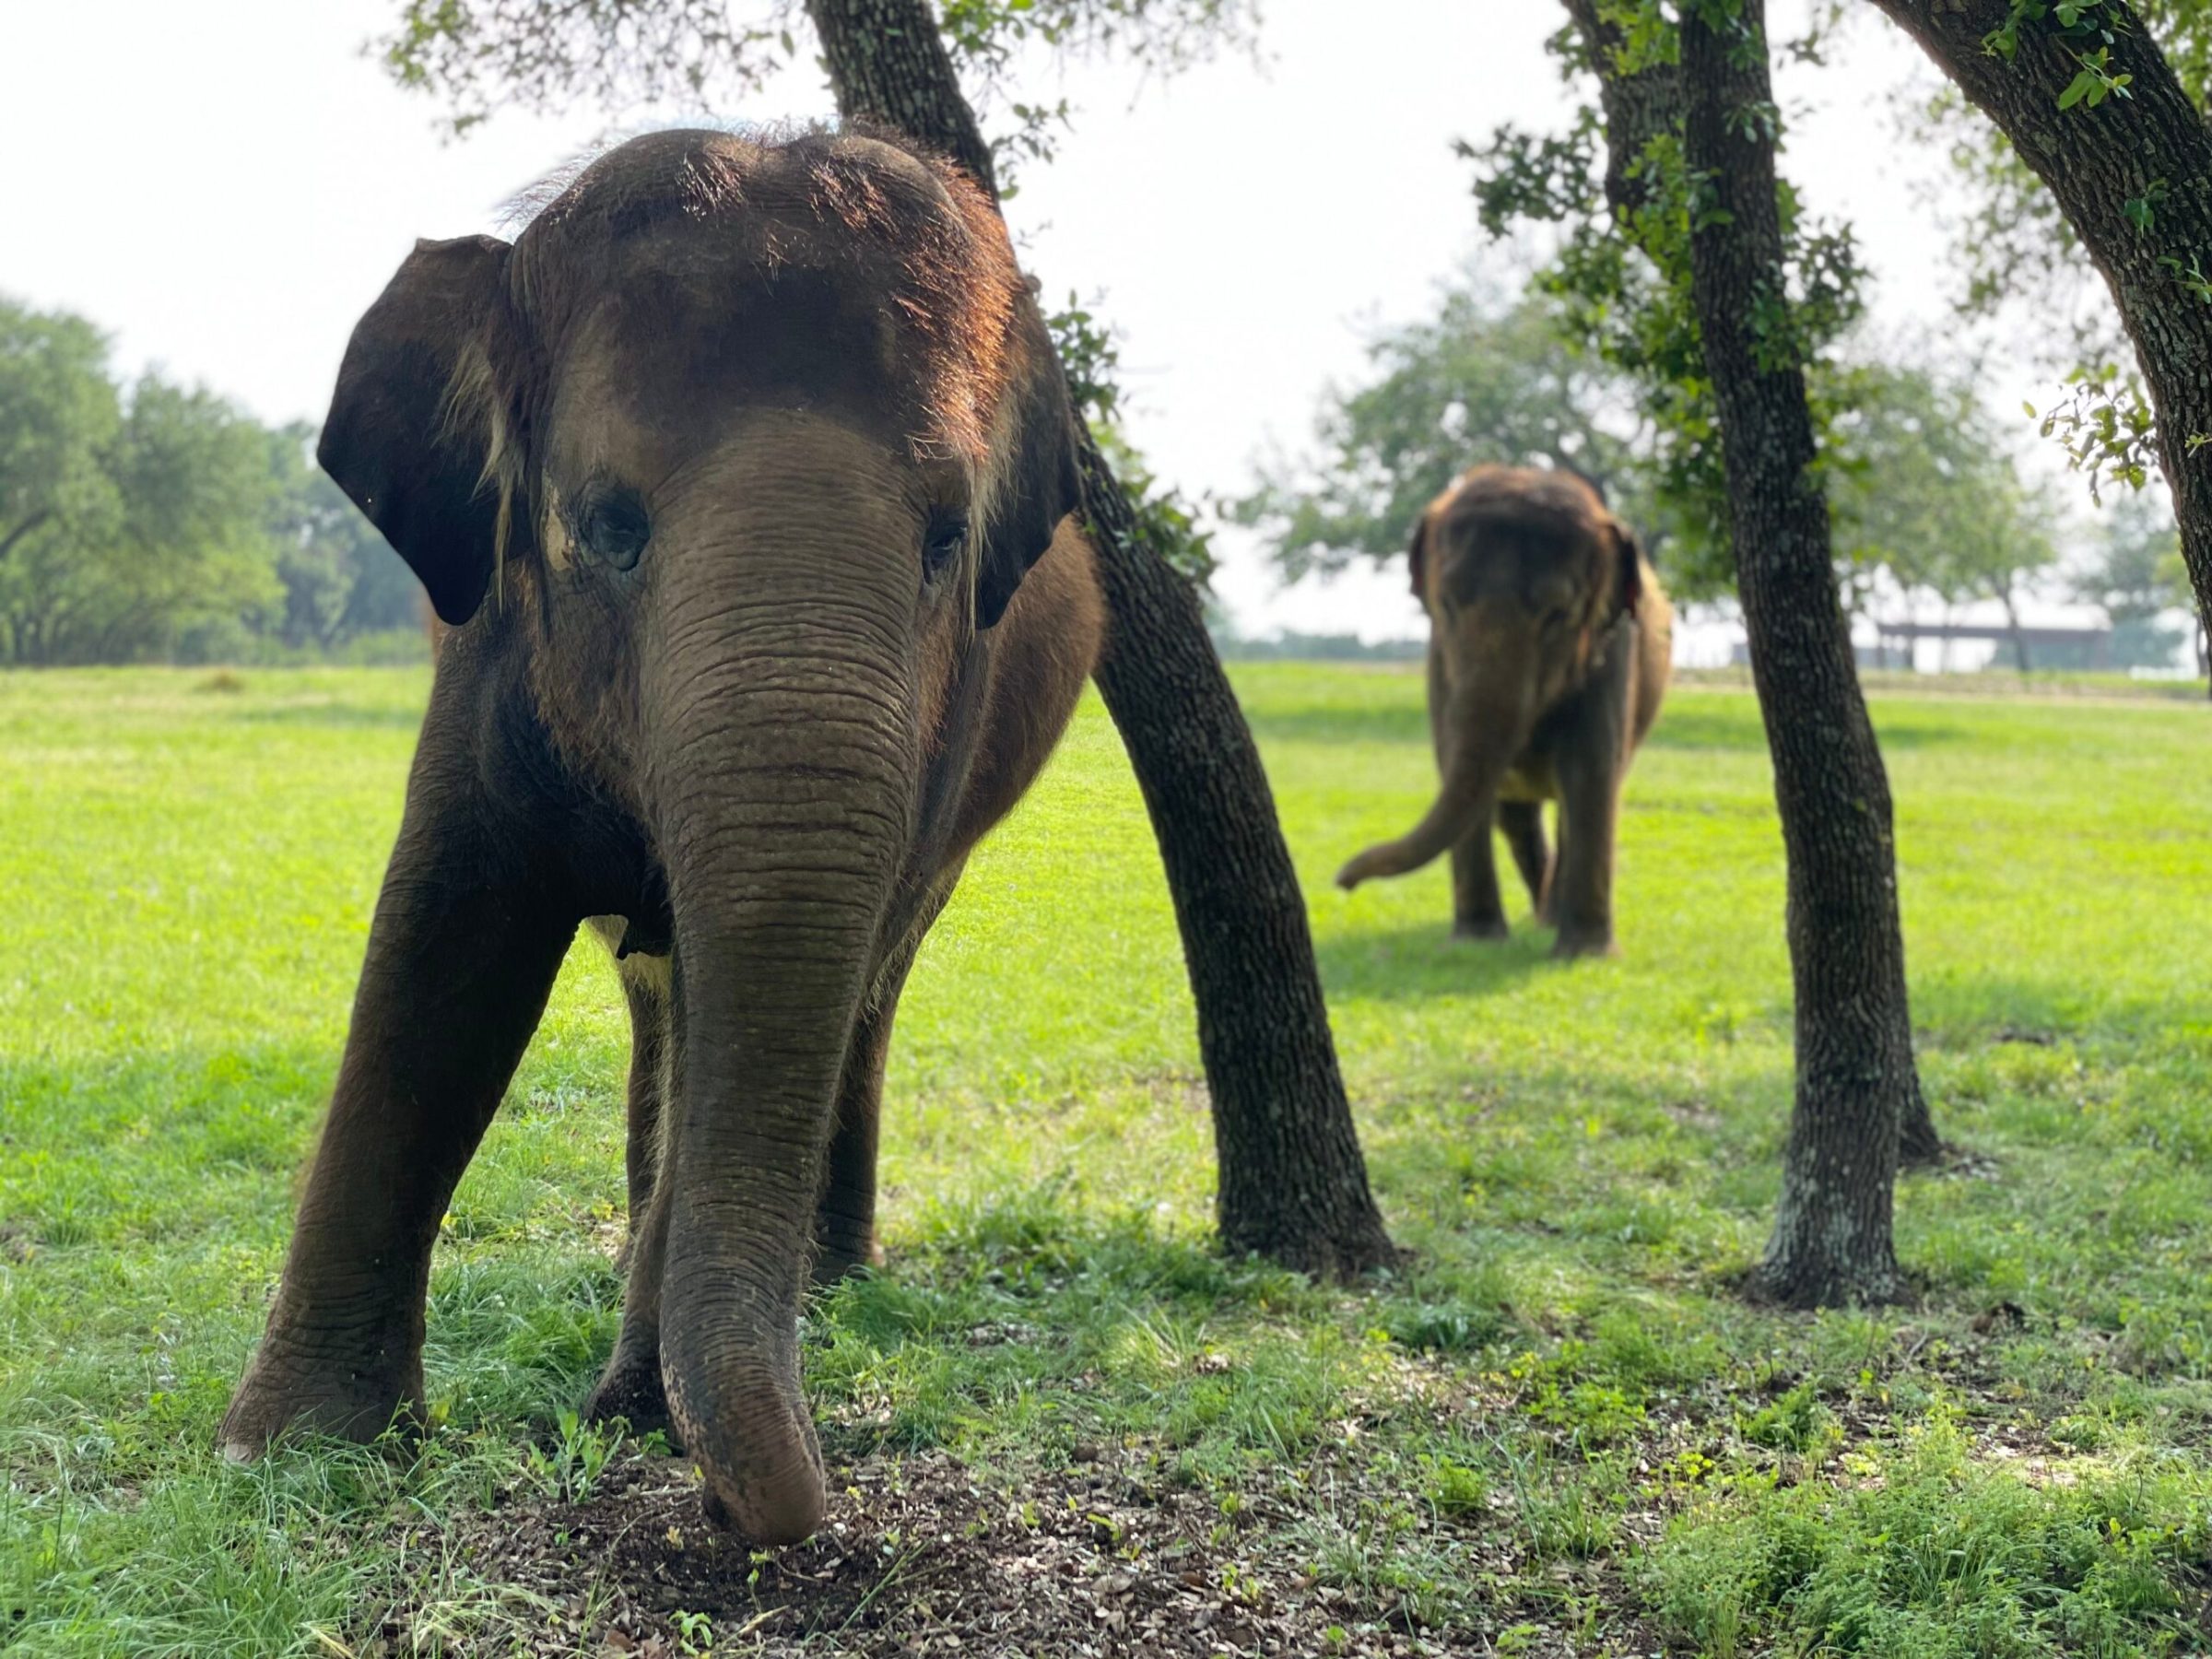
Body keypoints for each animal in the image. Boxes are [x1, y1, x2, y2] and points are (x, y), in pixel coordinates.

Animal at [219, 126, 1106, 1548]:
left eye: (948, 543)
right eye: (608, 527)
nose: (775, 1511)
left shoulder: (948, 723)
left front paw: (633, 1412)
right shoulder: (489, 639)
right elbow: (444, 950)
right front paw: (290, 1453)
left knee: (852, 987)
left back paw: (820, 1281)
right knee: (663, 999)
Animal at [1327, 468, 1672, 959]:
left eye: (1558, 613)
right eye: (1447, 603)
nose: (1343, 881)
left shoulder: (1614, 650)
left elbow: (1590, 772)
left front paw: (1584, 955)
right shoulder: (1441, 658)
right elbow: (1453, 759)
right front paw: (1476, 940)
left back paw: (1550, 919)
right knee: (1515, 817)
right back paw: (1541, 916)